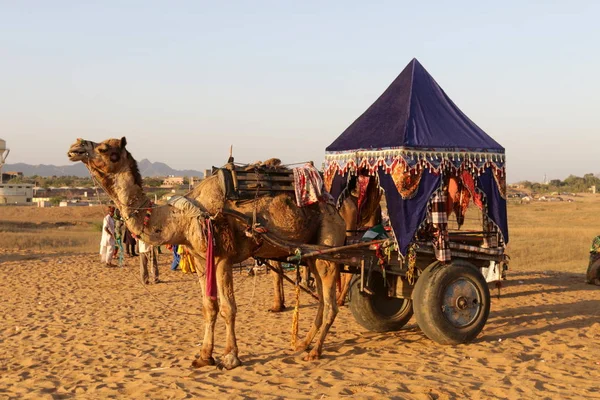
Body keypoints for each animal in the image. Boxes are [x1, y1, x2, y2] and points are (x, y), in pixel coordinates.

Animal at [67, 137, 344, 368]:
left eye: (107, 149)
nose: (75, 147)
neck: (180, 217)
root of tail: (333, 205)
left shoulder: (223, 258)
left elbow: (228, 308)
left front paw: (230, 357)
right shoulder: (201, 260)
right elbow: (208, 307)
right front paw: (203, 356)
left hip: (328, 240)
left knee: (331, 302)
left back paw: (314, 351)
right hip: (313, 253)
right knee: (322, 297)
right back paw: (303, 343)